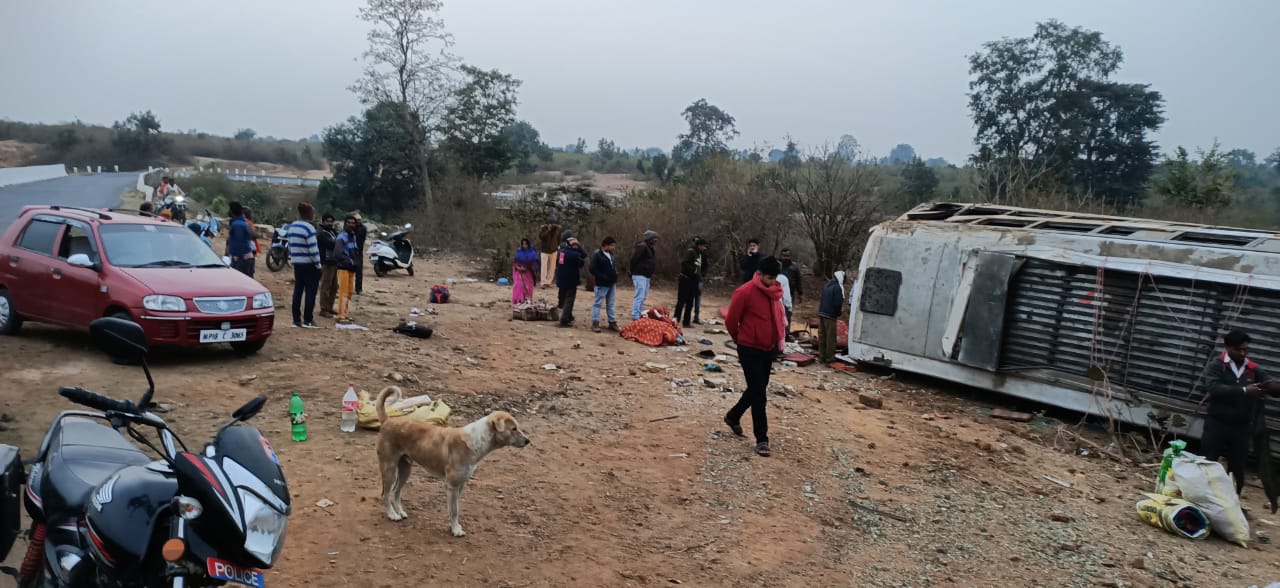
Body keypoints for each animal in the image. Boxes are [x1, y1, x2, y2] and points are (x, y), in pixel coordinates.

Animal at [373, 386, 527, 538]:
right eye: (513, 429)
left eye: (517, 427)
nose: (528, 441)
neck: (476, 440)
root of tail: (387, 420)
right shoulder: (452, 485)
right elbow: (454, 510)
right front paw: (456, 530)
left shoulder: (461, 485)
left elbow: (455, 508)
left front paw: (455, 527)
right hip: (389, 469)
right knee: (386, 493)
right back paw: (392, 514)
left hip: (405, 469)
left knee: (396, 491)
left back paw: (400, 512)